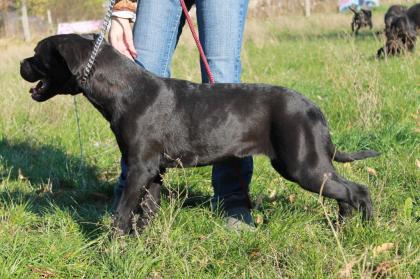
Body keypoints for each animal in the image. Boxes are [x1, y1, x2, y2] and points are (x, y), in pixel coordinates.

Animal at [20, 35, 380, 236]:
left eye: (38, 55)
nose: (21, 64)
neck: (123, 89)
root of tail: (313, 108)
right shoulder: (152, 170)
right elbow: (147, 211)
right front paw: (143, 245)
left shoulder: (138, 167)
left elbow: (122, 213)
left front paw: (111, 247)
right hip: (307, 164)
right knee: (346, 193)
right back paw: (343, 227)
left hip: (303, 165)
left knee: (358, 190)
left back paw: (367, 229)